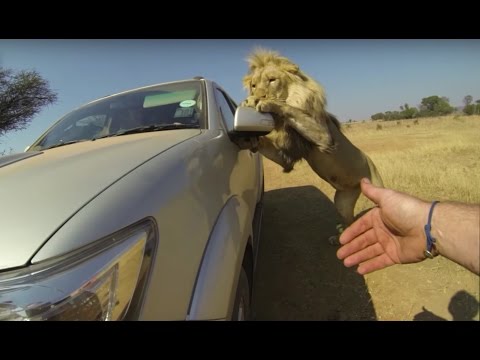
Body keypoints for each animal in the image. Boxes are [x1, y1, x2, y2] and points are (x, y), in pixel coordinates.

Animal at [242, 47, 384, 243]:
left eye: (272, 80)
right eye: (254, 85)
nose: (256, 96)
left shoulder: (325, 137)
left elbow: (290, 108)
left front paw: (264, 102)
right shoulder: (287, 154)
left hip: (376, 186)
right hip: (341, 200)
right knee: (351, 221)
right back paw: (340, 237)